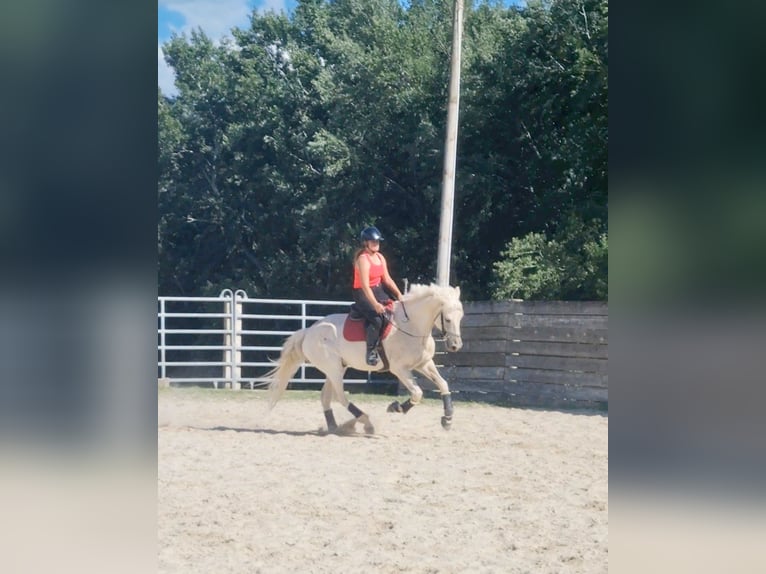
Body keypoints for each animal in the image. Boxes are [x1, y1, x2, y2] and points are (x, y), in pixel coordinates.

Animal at [268, 284, 464, 432]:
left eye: (460, 317)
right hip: (334, 369)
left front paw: (447, 418)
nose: (455, 346)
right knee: (340, 396)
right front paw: (396, 407)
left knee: (326, 397)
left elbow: (443, 384)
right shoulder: (399, 369)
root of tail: (309, 330)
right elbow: (417, 392)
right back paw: (365, 422)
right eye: (447, 319)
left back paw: (334, 428)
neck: (411, 326)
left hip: (337, 369)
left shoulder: (424, 364)